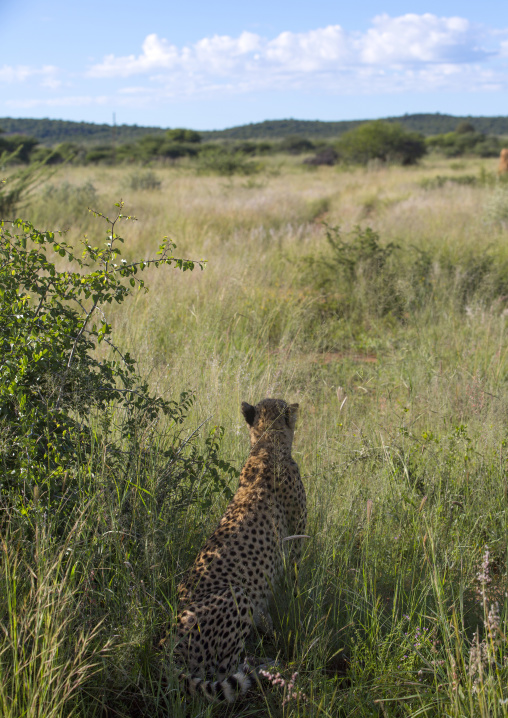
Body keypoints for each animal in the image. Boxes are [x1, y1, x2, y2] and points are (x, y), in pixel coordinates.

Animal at [175, 398, 307, 702]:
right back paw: (268, 666)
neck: (267, 441)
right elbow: (297, 577)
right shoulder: (296, 537)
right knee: (227, 668)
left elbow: (266, 613)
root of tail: (165, 645)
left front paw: (271, 628)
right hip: (236, 595)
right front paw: (300, 603)